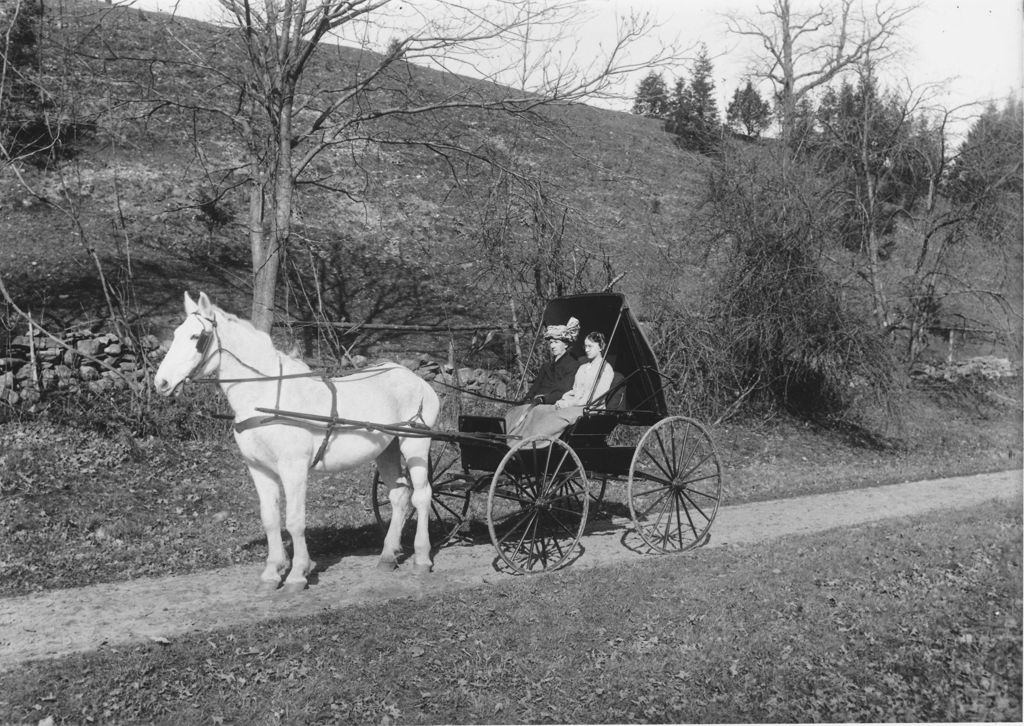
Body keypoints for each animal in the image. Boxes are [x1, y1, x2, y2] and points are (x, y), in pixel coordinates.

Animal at [152, 290, 440, 593]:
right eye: (176, 333)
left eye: (196, 337)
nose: (161, 382)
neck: (267, 395)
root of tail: (416, 379)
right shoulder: (259, 469)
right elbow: (270, 519)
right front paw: (272, 573)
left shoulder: (294, 468)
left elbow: (294, 521)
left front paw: (297, 574)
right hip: (387, 449)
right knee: (399, 496)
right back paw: (387, 556)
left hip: (415, 444)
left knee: (422, 496)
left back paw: (422, 557)